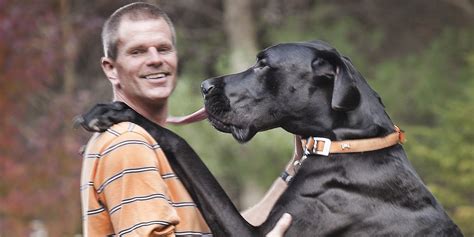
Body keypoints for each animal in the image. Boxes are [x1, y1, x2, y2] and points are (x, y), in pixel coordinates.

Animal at [78, 40, 462, 235]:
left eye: (263, 64)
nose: (204, 86)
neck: (348, 143)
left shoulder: (257, 233)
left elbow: (181, 144)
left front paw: (116, 110)